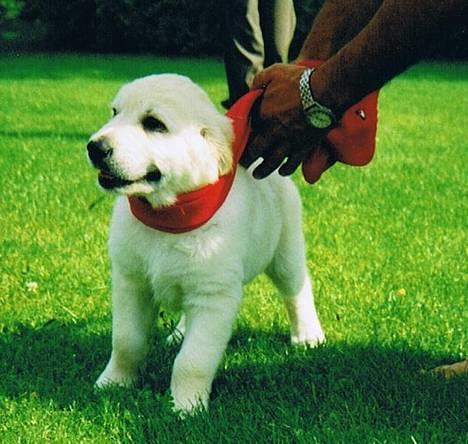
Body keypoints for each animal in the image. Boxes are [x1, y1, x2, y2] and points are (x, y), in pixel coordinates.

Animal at [86, 74, 324, 414]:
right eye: (114, 112)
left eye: (154, 124)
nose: (94, 147)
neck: (169, 215)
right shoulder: (131, 282)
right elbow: (126, 341)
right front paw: (113, 383)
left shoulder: (214, 297)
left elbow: (192, 360)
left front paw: (186, 407)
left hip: (285, 250)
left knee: (297, 290)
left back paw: (307, 334)